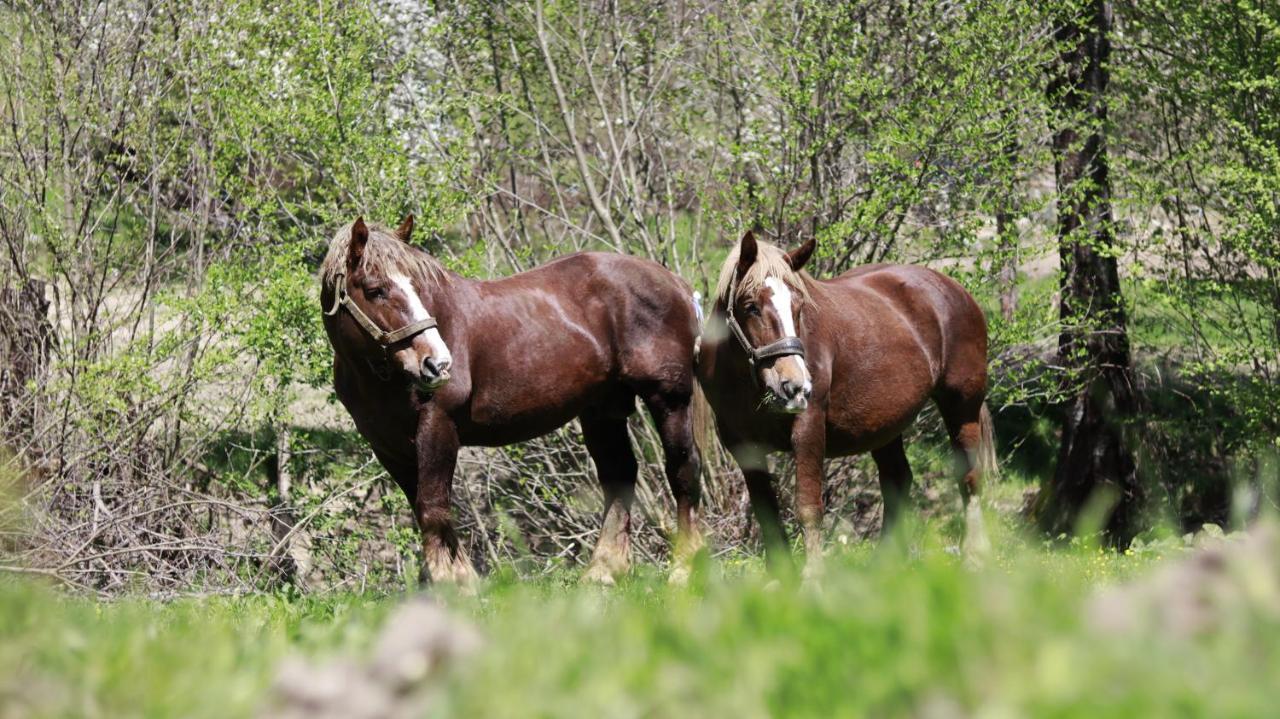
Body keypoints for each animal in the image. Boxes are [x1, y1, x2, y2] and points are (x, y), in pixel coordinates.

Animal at [316, 217, 706, 583]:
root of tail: (677, 284)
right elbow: (422, 509)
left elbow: (433, 507)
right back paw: (604, 572)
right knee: (619, 474)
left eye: (418, 288)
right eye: (375, 290)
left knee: (683, 468)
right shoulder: (388, 445)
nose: (437, 363)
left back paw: (682, 570)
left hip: (668, 398)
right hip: (603, 410)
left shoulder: (437, 427)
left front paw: (453, 583)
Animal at [696, 232, 993, 573]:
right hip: (884, 425)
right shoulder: (742, 445)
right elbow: (766, 513)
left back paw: (974, 556)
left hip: (962, 407)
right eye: (751, 307)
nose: (796, 385)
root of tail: (954, 289)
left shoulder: (808, 427)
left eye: (798, 306)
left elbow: (808, 506)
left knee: (969, 477)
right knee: (897, 479)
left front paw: (812, 578)